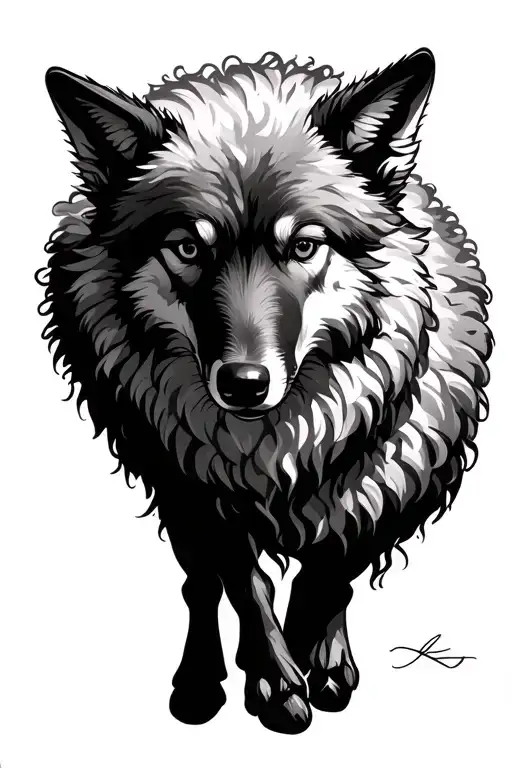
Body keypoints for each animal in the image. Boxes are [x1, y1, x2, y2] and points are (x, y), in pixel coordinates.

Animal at [39, 50, 492, 734]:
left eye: (304, 245)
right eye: (188, 247)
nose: (244, 385)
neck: (279, 438)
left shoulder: (390, 471)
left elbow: (330, 575)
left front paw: (316, 661)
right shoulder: (198, 484)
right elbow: (247, 586)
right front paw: (277, 683)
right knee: (199, 588)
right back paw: (199, 683)